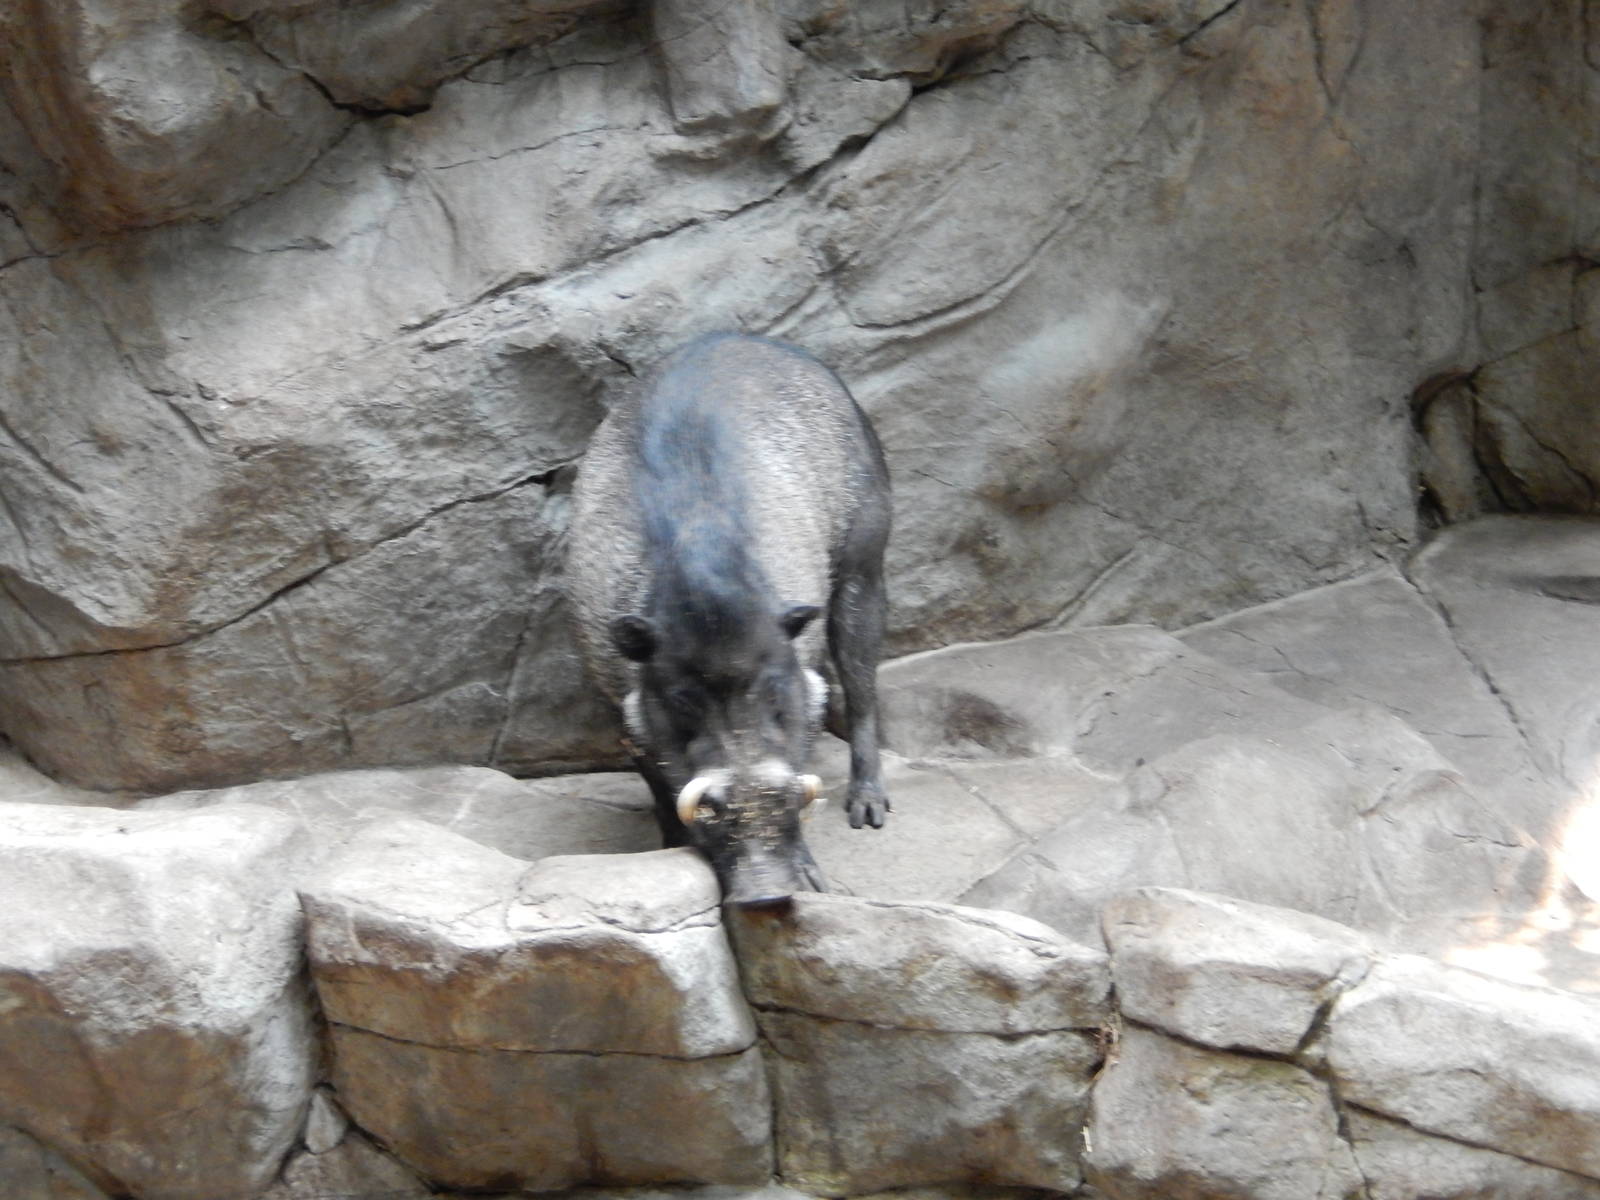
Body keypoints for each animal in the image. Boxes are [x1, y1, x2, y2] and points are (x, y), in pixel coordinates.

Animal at [566, 332, 891, 907]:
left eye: (775, 693)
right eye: (682, 701)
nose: (766, 894)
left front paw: (812, 883)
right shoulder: (615, 696)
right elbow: (661, 784)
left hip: (864, 559)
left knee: (860, 682)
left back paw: (869, 811)